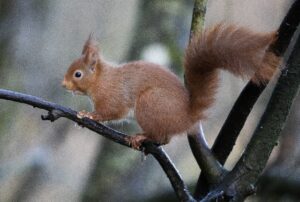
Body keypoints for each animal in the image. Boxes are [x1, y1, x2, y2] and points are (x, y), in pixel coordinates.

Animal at [62, 24, 280, 149]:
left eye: (78, 74)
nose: (63, 85)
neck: (101, 80)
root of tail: (186, 117)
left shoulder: (113, 96)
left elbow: (111, 112)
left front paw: (89, 115)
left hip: (150, 103)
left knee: (160, 136)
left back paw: (142, 137)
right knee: (165, 139)